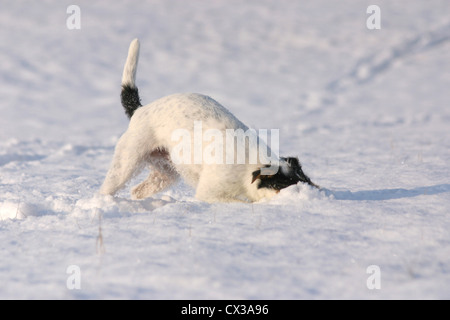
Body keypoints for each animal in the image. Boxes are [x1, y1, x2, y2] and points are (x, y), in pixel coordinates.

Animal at [99, 38, 316, 201]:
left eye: (305, 180)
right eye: (282, 185)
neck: (250, 165)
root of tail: (141, 110)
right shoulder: (210, 193)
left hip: (165, 173)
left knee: (137, 191)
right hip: (126, 164)